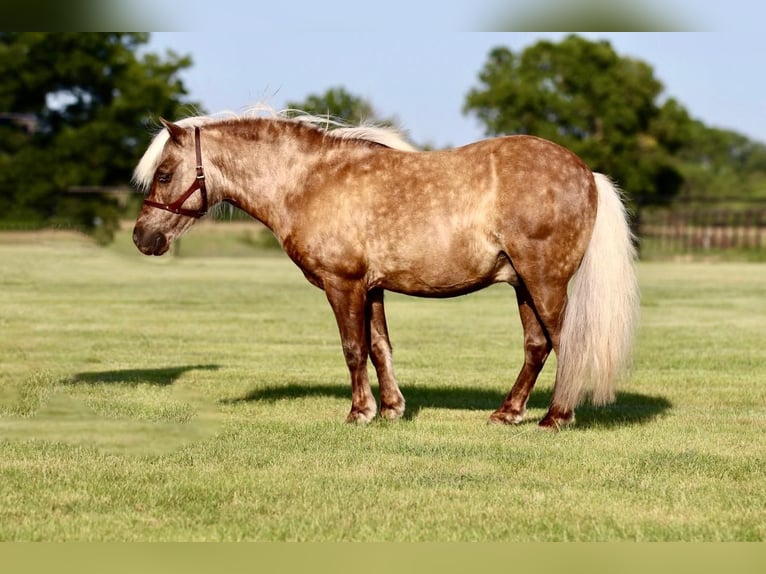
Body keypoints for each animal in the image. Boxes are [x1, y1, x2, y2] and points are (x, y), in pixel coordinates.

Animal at [134, 110, 640, 430]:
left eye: (164, 174)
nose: (142, 237)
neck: (310, 182)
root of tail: (587, 174)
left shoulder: (342, 285)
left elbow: (353, 348)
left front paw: (359, 413)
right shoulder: (371, 287)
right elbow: (380, 347)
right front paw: (392, 409)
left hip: (544, 282)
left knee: (565, 343)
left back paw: (555, 417)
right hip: (523, 284)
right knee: (537, 346)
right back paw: (507, 413)